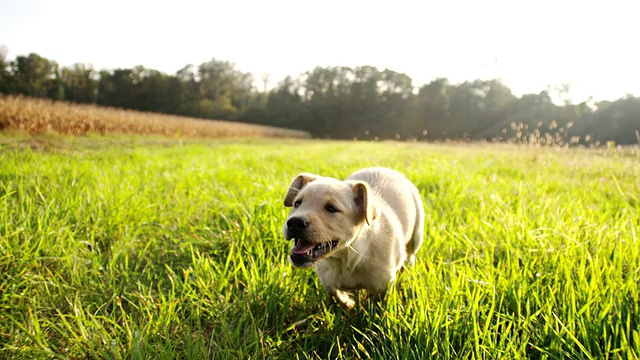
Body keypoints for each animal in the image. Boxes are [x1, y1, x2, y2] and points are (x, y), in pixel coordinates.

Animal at [282, 167, 422, 308]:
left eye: (331, 208)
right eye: (297, 203)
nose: (294, 222)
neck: (344, 259)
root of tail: (385, 169)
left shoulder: (383, 284)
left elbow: (375, 303)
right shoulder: (327, 279)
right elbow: (335, 293)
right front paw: (347, 304)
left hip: (416, 235)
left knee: (410, 256)